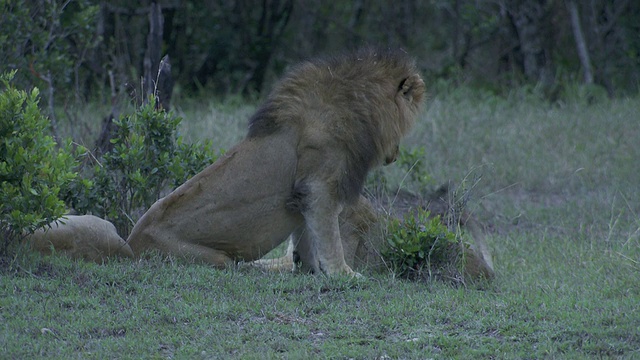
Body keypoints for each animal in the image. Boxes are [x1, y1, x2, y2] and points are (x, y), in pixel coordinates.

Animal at [125, 48, 424, 276]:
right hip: (217, 259)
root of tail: (131, 244)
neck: (360, 108)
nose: (396, 154)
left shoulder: (303, 195)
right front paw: (344, 274)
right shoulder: (320, 186)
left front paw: (309, 270)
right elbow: (329, 237)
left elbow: (307, 236)